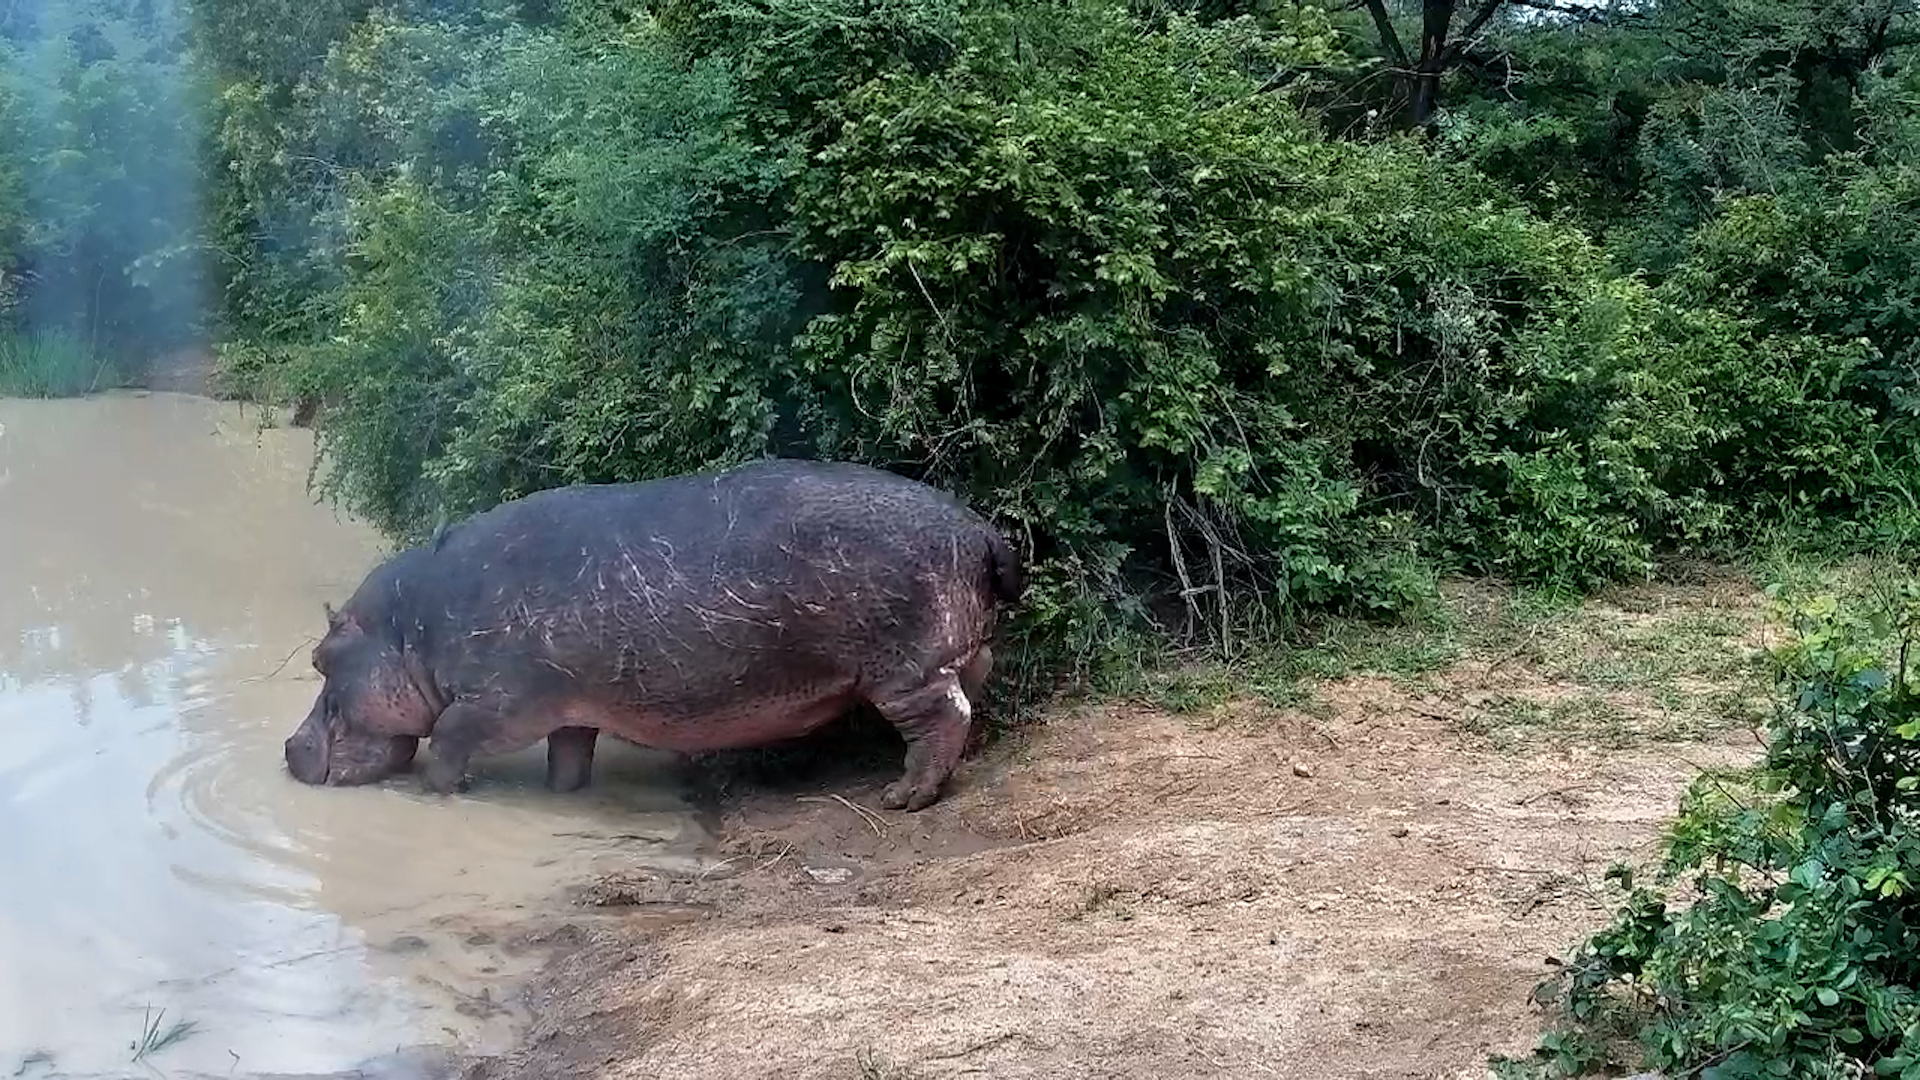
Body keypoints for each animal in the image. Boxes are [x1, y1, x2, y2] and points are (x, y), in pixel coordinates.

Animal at [282, 458, 1024, 811]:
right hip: (958, 653)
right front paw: (565, 797)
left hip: (904, 667)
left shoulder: (498, 703)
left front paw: (440, 794)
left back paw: (903, 798)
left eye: (320, 659)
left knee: (942, 718)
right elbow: (569, 758)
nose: (289, 746)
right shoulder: (570, 707)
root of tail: (982, 529)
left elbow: (446, 740)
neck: (411, 631)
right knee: (968, 697)